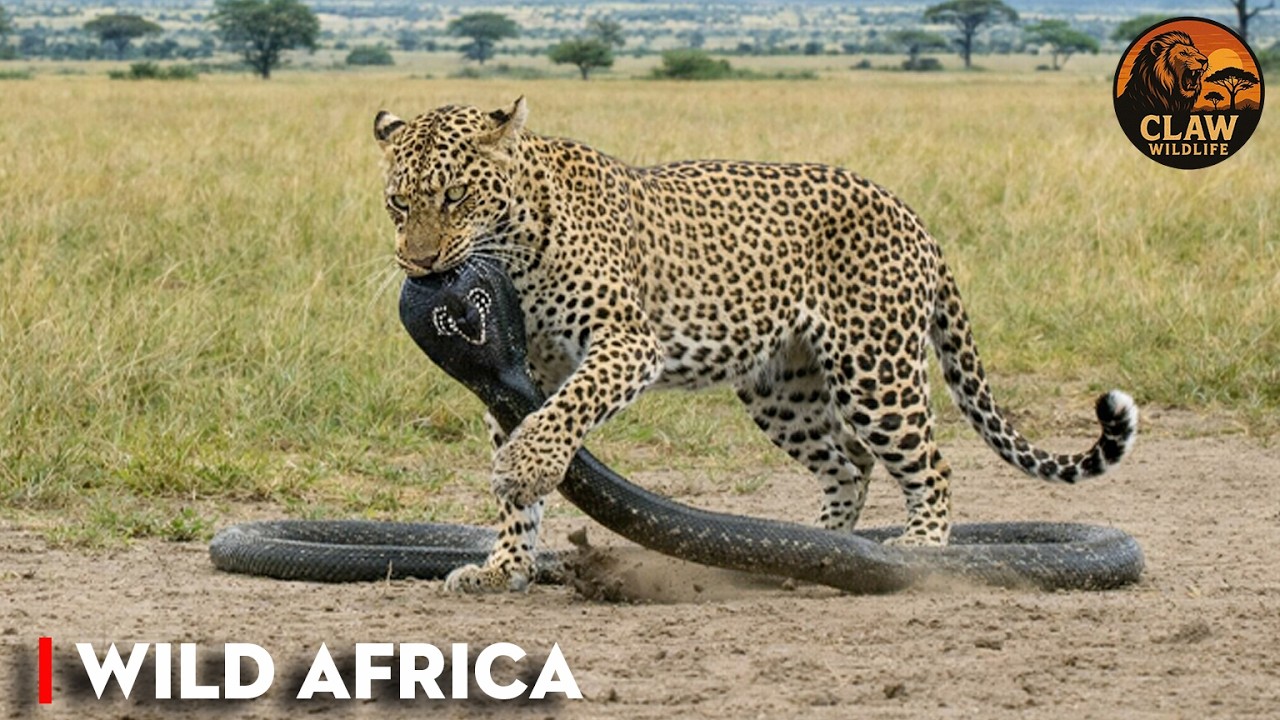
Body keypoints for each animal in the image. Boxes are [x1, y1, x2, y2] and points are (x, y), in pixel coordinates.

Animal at [373, 97, 1138, 593]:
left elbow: (564, 411)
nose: (418, 264)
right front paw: (506, 564)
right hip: (782, 389)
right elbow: (521, 455)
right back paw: (815, 553)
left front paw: (527, 466)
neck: (514, 245)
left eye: (455, 196)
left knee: (930, 464)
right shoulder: (520, 365)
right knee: (849, 465)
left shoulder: (628, 342)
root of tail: (909, 212)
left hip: (876, 371)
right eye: (398, 203)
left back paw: (918, 550)